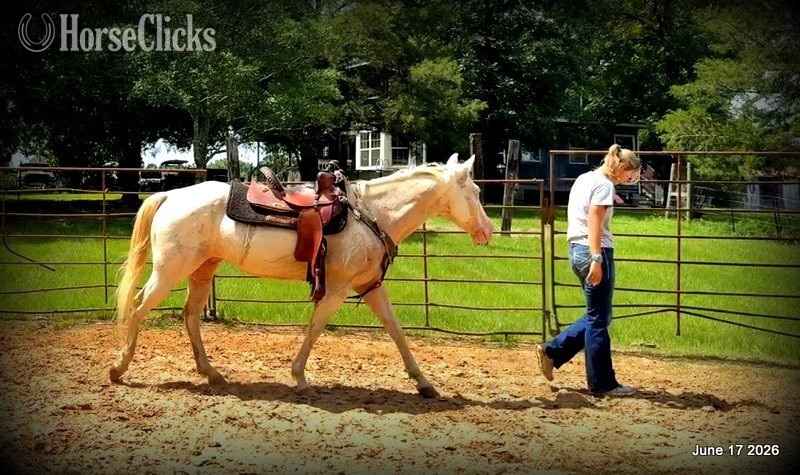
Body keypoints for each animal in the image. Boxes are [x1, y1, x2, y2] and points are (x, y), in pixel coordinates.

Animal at [110, 154, 493, 398]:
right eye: (475, 192)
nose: (487, 231)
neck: (372, 213)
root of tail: (169, 194)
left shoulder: (369, 286)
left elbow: (396, 330)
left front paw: (424, 382)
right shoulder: (337, 288)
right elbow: (316, 327)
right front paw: (299, 378)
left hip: (202, 270)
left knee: (189, 315)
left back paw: (211, 373)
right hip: (169, 270)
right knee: (139, 307)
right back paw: (119, 368)